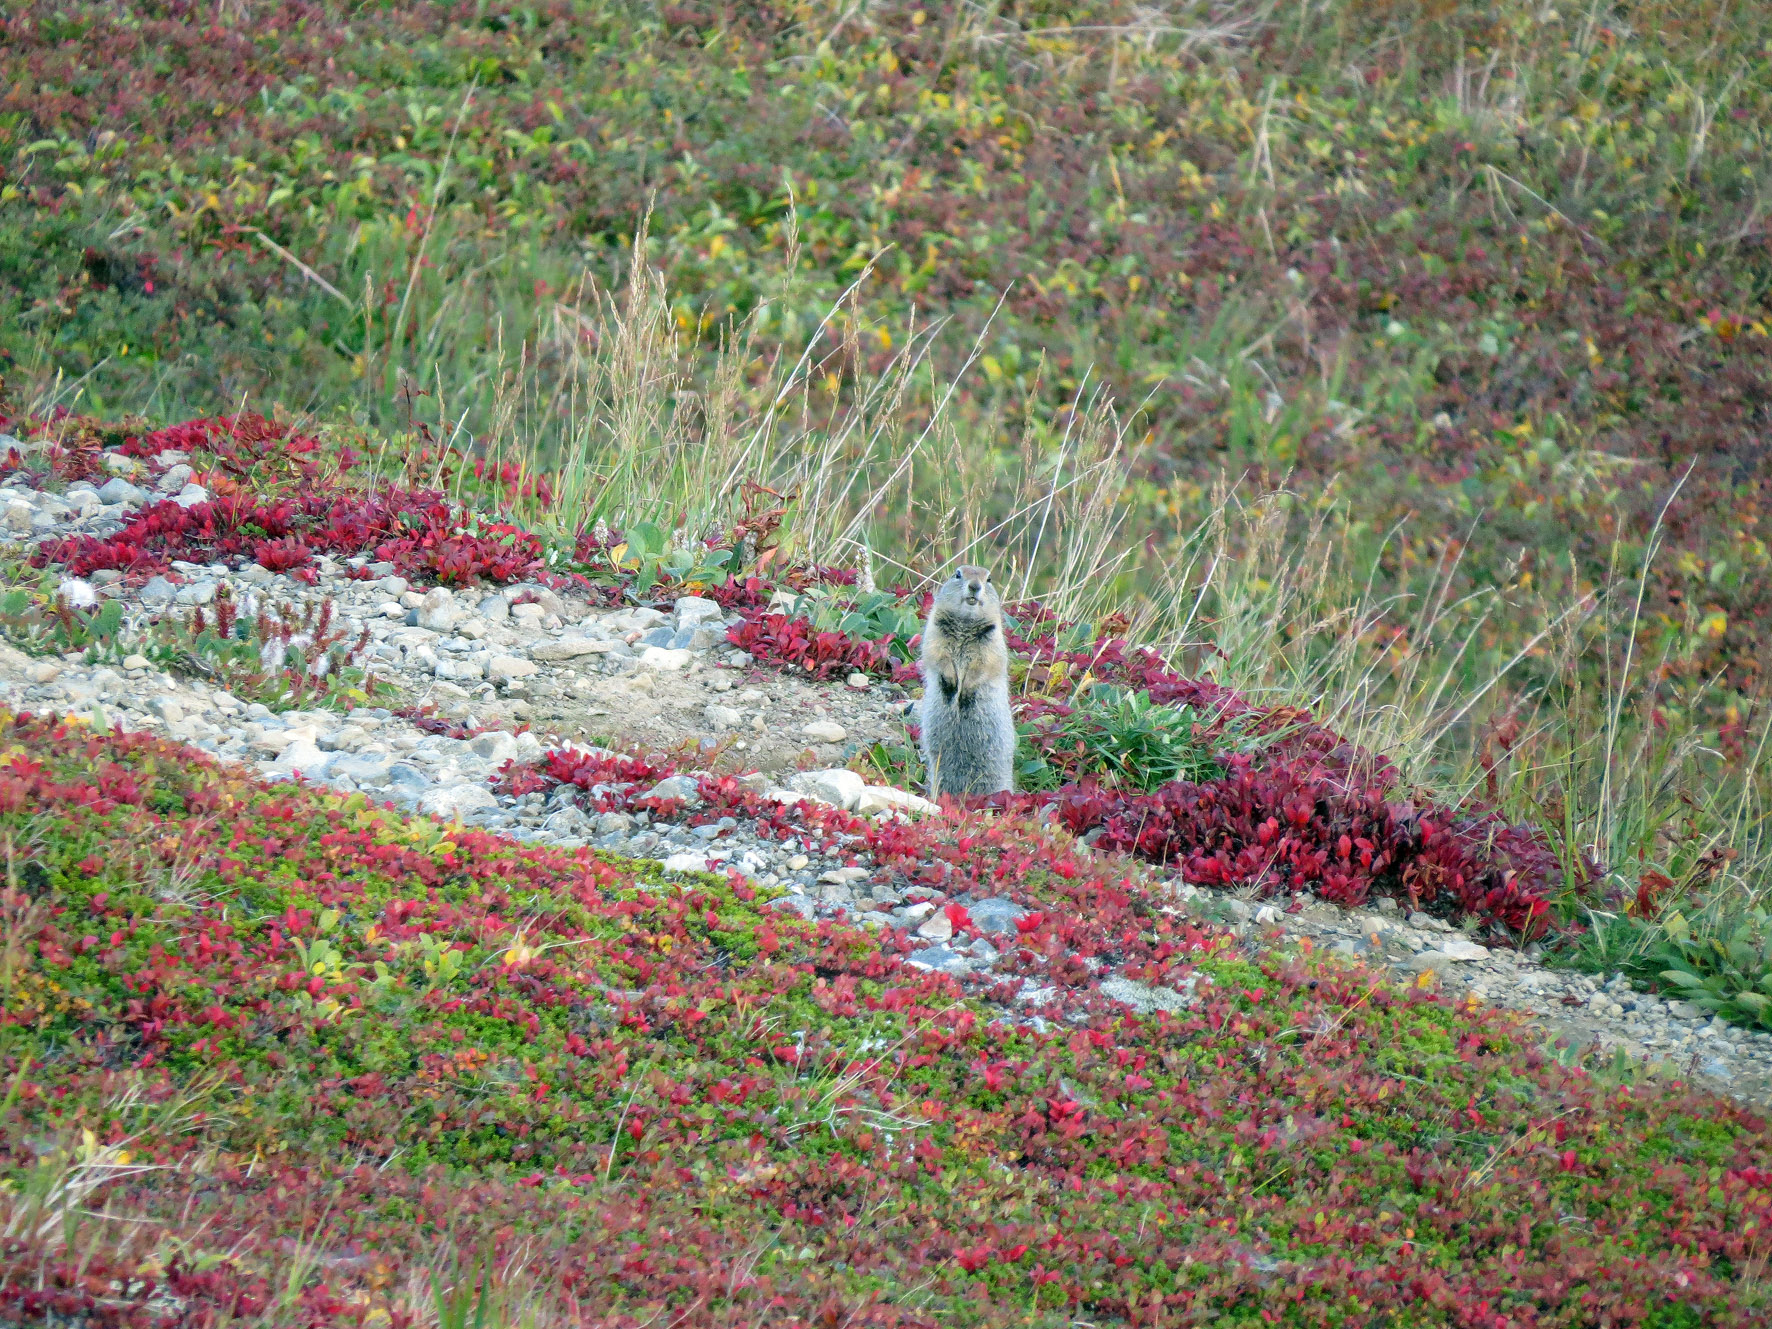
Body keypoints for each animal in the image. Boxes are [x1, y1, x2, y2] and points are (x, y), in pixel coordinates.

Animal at [921, 563, 1020, 800]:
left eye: (989, 579)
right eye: (957, 574)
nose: (975, 586)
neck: (965, 623)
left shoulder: (992, 643)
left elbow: (984, 666)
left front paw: (964, 691)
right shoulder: (934, 633)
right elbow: (936, 655)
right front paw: (951, 683)